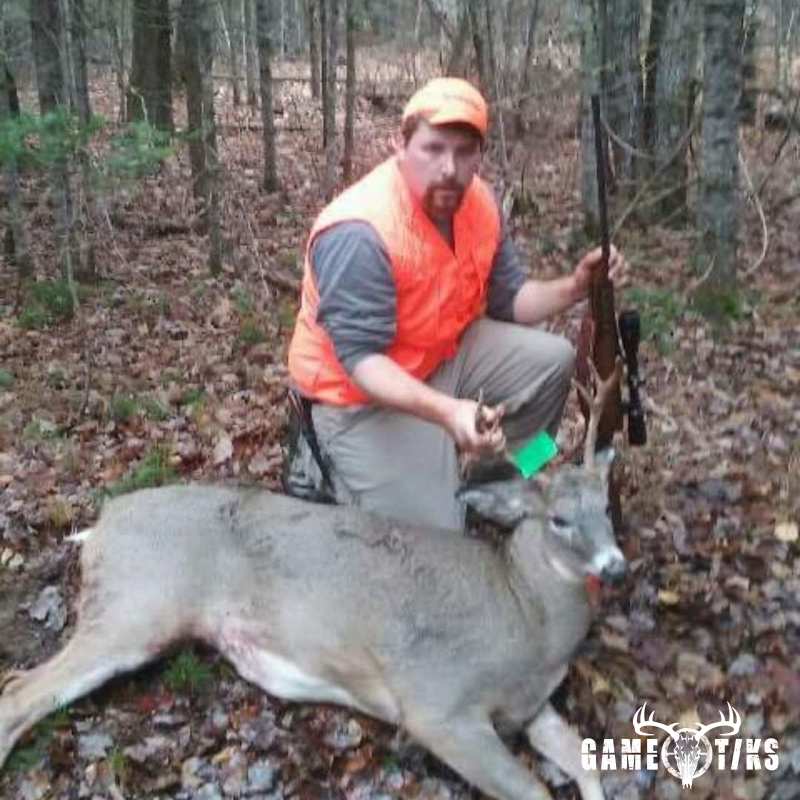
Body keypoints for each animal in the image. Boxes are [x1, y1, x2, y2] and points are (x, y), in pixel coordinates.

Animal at [0, 365, 626, 800]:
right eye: (558, 520)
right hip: (136, 604)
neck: (528, 620)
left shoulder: (532, 708)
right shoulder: (438, 702)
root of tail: (100, 524)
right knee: (21, 691)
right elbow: (535, 789)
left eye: (606, 507)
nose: (615, 564)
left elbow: (585, 760)